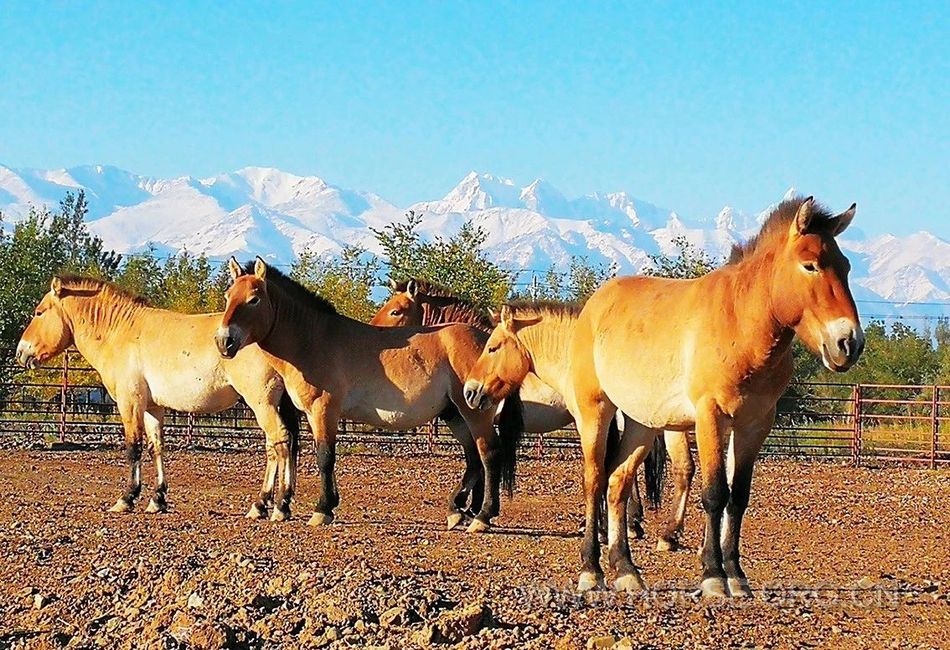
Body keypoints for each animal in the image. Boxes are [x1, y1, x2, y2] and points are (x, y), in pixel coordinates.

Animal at [17, 276, 302, 520]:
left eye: (39, 312)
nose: (21, 353)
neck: (121, 332)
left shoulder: (130, 403)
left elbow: (133, 447)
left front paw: (127, 498)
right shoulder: (152, 408)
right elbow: (156, 447)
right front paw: (157, 499)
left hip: (261, 402)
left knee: (279, 442)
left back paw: (275, 505)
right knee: (280, 445)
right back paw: (268, 503)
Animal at [218, 258, 528, 532]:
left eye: (254, 299)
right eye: (228, 295)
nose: (224, 341)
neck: (312, 339)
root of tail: (487, 342)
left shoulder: (324, 410)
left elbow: (325, 456)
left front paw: (322, 509)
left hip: (474, 412)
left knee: (489, 454)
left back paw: (482, 516)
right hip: (454, 414)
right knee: (474, 457)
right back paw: (456, 510)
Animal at [560, 197, 868, 596]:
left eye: (845, 266)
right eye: (810, 264)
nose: (849, 343)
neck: (741, 322)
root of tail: (595, 305)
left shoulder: (754, 425)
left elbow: (738, 497)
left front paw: (736, 575)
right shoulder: (711, 416)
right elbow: (715, 493)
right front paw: (712, 575)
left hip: (643, 424)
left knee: (618, 482)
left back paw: (626, 570)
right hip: (595, 411)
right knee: (595, 480)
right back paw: (591, 570)